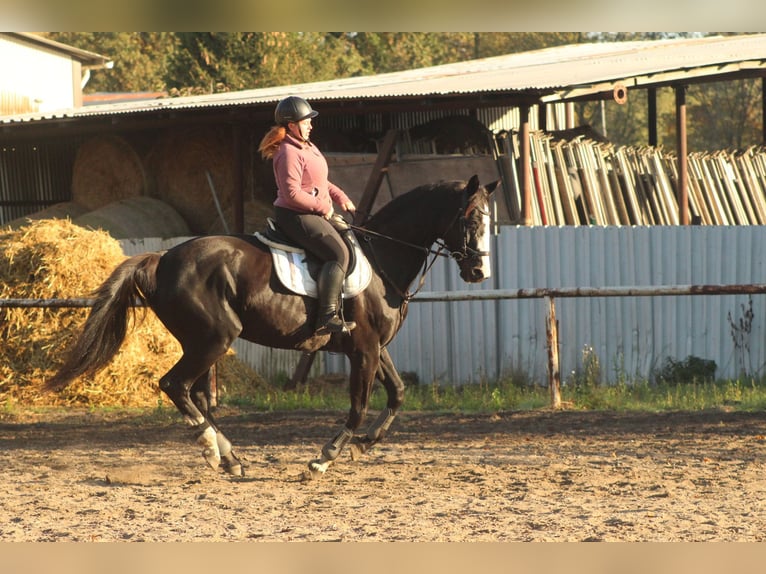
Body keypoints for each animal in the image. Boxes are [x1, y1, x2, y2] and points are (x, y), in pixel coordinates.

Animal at [49, 174, 504, 476]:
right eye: (470, 219)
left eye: (489, 220)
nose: (479, 272)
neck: (382, 259)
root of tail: (162, 258)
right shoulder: (364, 349)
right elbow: (358, 406)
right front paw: (324, 458)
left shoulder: (377, 347)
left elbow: (398, 394)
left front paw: (363, 446)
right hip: (214, 339)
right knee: (175, 385)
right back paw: (216, 452)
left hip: (201, 342)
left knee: (193, 393)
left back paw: (229, 455)